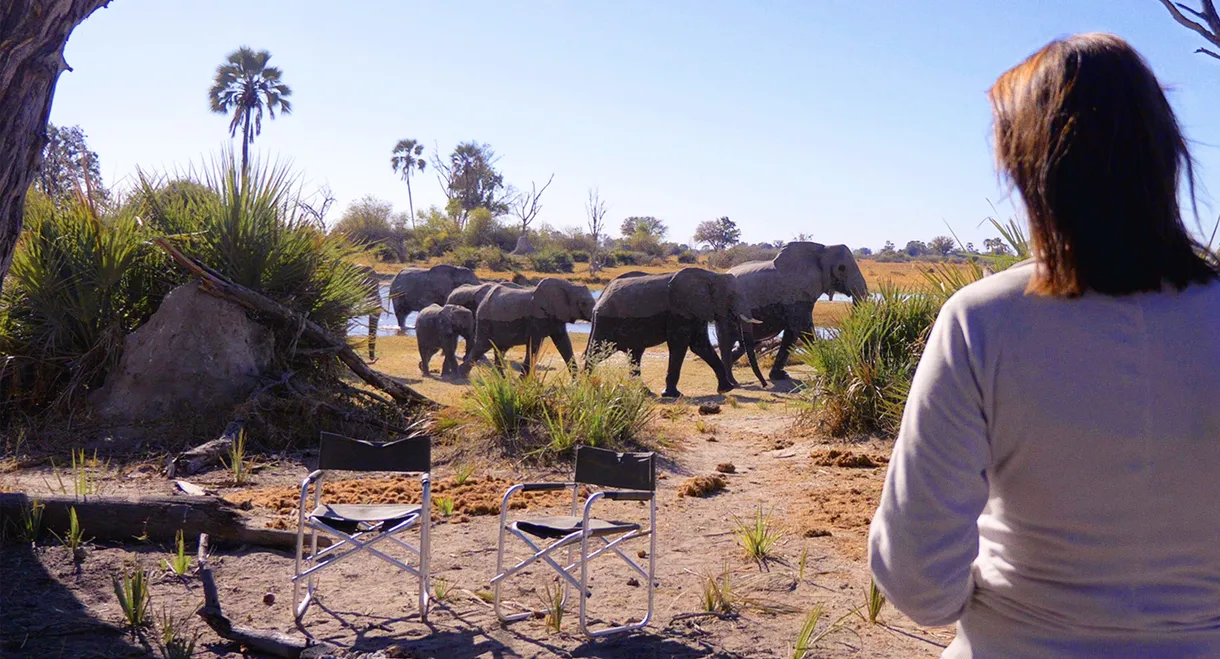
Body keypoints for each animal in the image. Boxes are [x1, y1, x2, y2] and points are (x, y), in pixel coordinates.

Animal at [462, 278, 595, 376]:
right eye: (583, 303)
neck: (569, 286)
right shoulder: (537, 318)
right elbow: (534, 347)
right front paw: (522, 382)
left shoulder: (557, 317)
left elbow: (564, 344)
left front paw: (576, 384)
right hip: (485, 321)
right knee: (481, 347)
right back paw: (461, 376)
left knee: (499, 350)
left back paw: (502, 379)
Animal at [585, 267, 766, 398]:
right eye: (731, 296)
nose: (764, 385)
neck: (712, 276)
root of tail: (600, 297)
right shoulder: (680, 312)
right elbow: (679, 345)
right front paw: (672, 395)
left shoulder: (696, 312)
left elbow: (700, 346)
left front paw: (726, 389)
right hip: (606, 322)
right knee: (596, 353)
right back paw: (585, 385)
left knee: (634, 355)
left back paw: (645, 392)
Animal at [717, 242, 868, 382]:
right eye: (841, 268)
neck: (822, 250)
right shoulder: (795, 293)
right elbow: (802, 329)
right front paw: (831, 369)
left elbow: (792, 334)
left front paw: (779, 376)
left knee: (749, 344)